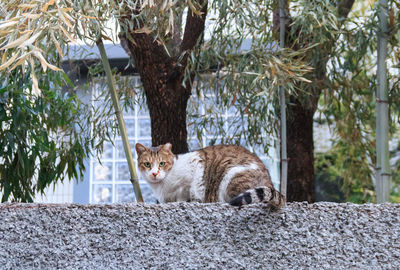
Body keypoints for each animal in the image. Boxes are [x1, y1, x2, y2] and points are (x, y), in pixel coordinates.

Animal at [136, 142, 286, 208]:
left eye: (162, 163)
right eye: (147, 164)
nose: (154, 173)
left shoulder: (192, 174)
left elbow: (185, 194)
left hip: (230, 177)